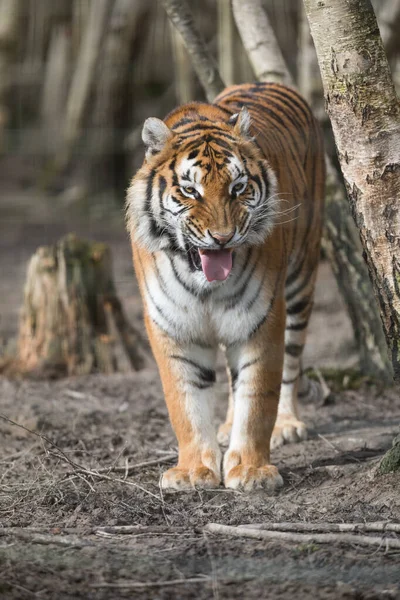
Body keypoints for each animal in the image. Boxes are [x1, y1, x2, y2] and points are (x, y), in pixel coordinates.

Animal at [126, 81, 324, 492]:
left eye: (238, 187)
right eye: (190, 190)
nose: (222, 237)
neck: (203, 284)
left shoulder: (263, 317)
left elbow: (258, 395)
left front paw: (251, 470)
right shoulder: (171, 325)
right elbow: (185, 401)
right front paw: (192, 471)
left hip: (301, 281)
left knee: (291, 362)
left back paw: (287, 424)